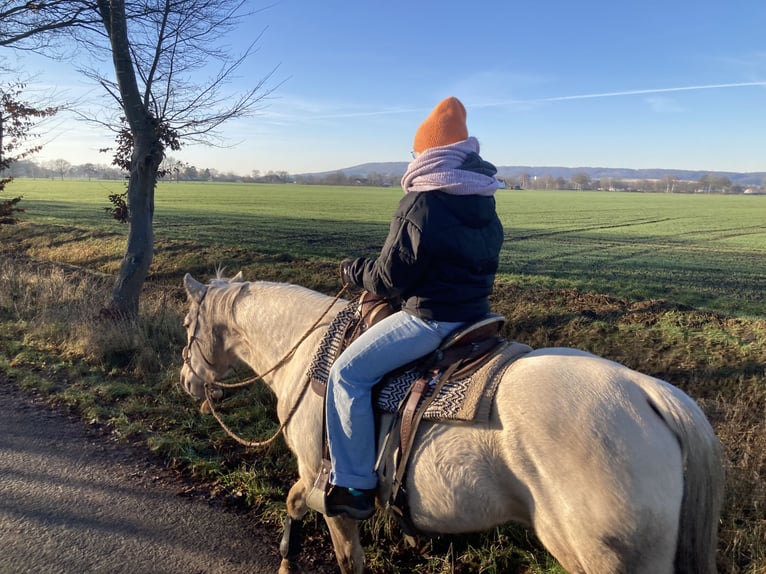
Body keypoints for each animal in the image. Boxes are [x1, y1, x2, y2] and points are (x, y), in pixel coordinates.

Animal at [180, 274, 728, 574]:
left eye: (188, 327)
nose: (187, 381)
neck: (310, 353)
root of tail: (650, 393)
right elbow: (297, 506)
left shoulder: (322, 476)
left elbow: (332, 539)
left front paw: (288, 557)